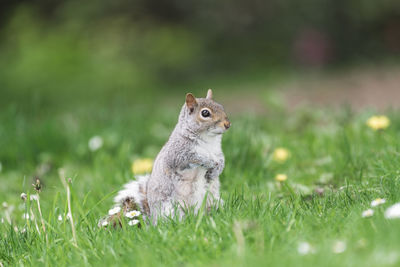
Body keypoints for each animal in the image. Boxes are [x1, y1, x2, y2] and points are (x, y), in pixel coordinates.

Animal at [99, 89, 231, 226]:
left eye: (221, 106)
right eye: (205, 113)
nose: (227, 124)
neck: (209, 140)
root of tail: (152, 220)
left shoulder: (218, 152)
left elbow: (222, 160)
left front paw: (216, 170)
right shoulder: (178, 154)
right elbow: (196, 158)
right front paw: (210, 162)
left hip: (212, 200)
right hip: (172, 209)